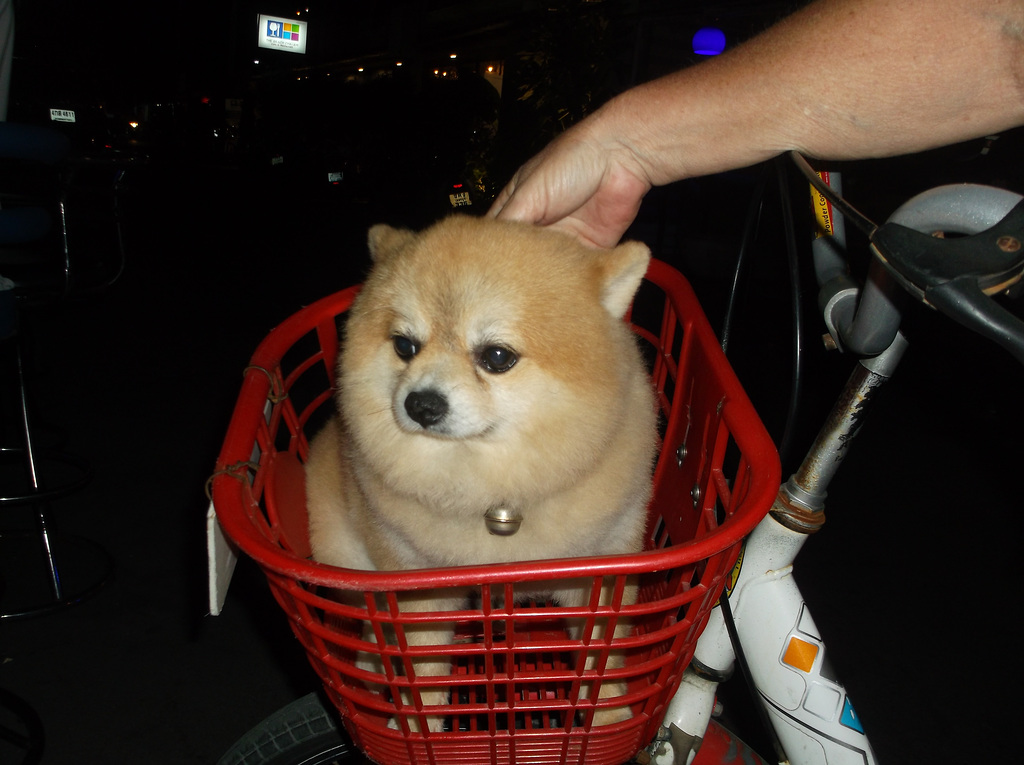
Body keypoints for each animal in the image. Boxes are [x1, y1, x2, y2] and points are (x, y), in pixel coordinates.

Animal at [305, 214, 655, 729]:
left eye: (496, 357)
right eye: (405, 346)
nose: (421, 404)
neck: (486, 488)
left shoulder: (603, 568)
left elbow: (604, 655)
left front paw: (608, 717)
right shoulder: (414, 586)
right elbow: (421, 669)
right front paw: (421, 726)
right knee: (374, 636)